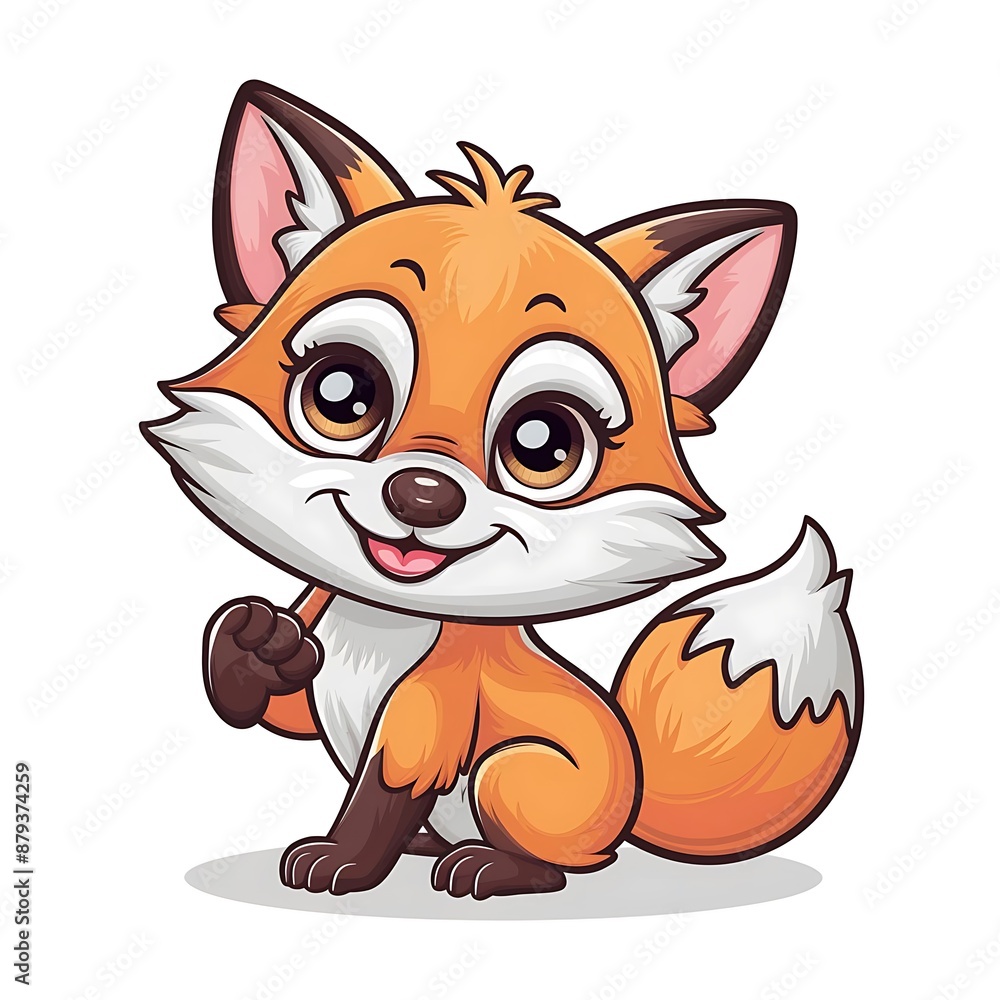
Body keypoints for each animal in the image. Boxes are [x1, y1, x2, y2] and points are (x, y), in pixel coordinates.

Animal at [143, 81, 862, 901]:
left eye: (542, 443)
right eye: (341, 392)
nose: (423, 496)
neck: (383, 623)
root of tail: (633, 805)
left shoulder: (429, 720)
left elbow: (382, 794)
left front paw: (344, 862)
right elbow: (276, 693)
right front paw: (256, 640)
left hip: (512, 775)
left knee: (552, 862)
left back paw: (488, 866)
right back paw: (430, 847)